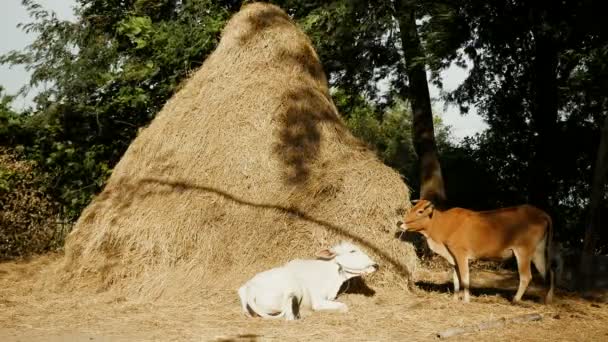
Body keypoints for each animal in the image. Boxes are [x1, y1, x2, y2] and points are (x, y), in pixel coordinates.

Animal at [239, 242, 378, 320]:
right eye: (352, 251)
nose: (376, 265)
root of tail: (250, 289)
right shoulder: (318, 301)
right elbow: (344, 307)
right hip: (294, 289)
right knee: (289, 317)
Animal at [400, 199, 556, 304]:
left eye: (420, 211)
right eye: (412, 208)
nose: (400, 223)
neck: (444, 224)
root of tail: (542, 214)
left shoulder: (460, 253)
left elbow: (464, 278)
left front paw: (466, 300)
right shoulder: (452, 257)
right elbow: (456, 278)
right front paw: (455, 298)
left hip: (523, 251)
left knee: (526, 276)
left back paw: (516, 300)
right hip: (538, 252)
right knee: (548, 272)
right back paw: (546, 299)